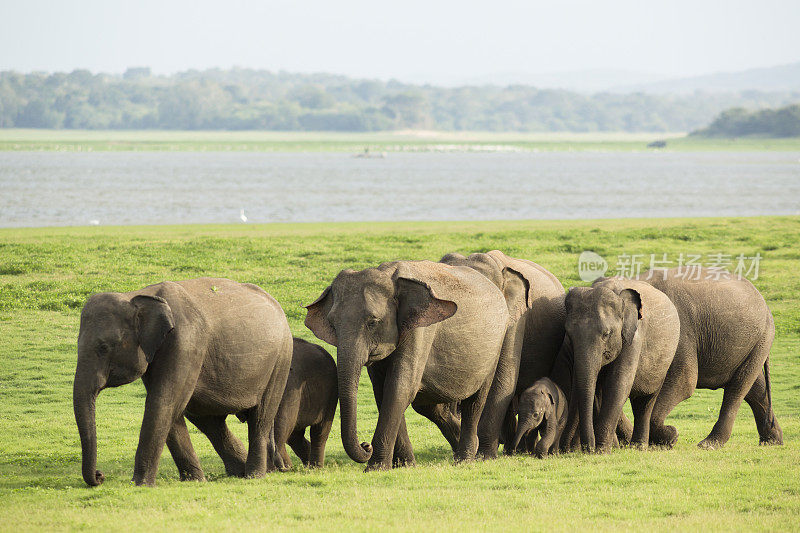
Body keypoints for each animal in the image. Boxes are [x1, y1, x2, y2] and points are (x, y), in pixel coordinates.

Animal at [73, 278, 292, 486]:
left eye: (103, 347)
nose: (100, 476)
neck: (136, 294)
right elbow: (169, 406)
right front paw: (194, 480)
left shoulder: (185, 343)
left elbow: (162, 402)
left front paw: (140, 484)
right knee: (207, 419)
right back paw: (239, 471)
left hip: (280, 361)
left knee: (261, 417)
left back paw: (254, 475)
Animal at [274, 336, 340, 470]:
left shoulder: (291, 386)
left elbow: (281, 423)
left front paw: (285, 467)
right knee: (295, 436)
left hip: (330, 394)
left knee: (319, 431)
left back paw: (315, 467)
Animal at [304, 260, 510, 468]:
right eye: (332, 323)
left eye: (373, 322)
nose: (366, 445)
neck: (390, 276)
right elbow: (383, 391)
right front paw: (405, 465)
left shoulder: (421, 330)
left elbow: (399, 387)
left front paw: (376, 468)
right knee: (430, 406)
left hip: (496, 346)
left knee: (475, 402)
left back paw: (464, 459)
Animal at [640, 268, 784, 446]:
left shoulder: (681, 331)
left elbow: (685, 381)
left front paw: (670, 437)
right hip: (754, 342)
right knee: (755, 388)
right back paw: (772, 441)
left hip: (762, 338)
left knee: (738, 387)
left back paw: (709, 444)